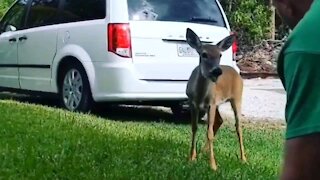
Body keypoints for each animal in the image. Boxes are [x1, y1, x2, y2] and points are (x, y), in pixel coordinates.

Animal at [184, 27, 246, 170]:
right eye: (204, 54)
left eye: (220, 55)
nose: (217, 71)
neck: (200, 95)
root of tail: (236, 72)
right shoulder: (193, 103)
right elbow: (194, 128)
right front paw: (191, 158)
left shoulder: (210, 104)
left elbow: (209, 133)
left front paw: (213, 165)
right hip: (217, 103)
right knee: (220, 120)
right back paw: (202, 152)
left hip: (237, 97)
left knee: (238, 126)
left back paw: (244, 159)